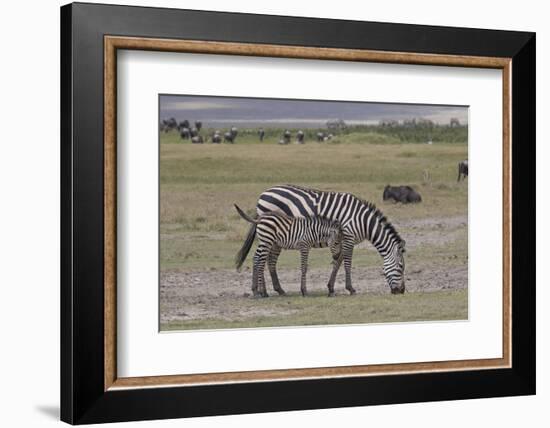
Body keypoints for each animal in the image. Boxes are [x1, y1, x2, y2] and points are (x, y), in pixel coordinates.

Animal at [235, 184, 408, 294]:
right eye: (401, 267)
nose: (401, 291)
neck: (363, 221)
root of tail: (263, 193)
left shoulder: (342, 240)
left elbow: (338, 262)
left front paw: (331, 287)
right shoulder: (349, 237)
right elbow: (347, 263)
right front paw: (350, 288)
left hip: (275, 238)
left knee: (267, 259)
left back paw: (276, 290)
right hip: (270, 235)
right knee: (261, 258)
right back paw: (261, 291)